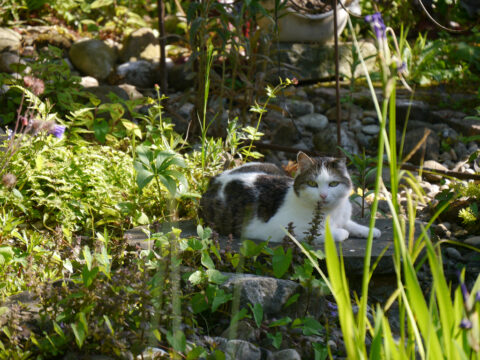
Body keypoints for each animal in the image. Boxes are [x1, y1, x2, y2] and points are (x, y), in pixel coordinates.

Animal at [198, 150, 378, 243]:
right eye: (312, 184)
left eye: (333, 184)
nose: (323, 195)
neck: (331, 213)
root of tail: (216, 177)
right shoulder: (281, 229)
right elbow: (334, 233)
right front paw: (341, 232)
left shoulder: (343, 217)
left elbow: (350, 224)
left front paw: (368, 231)